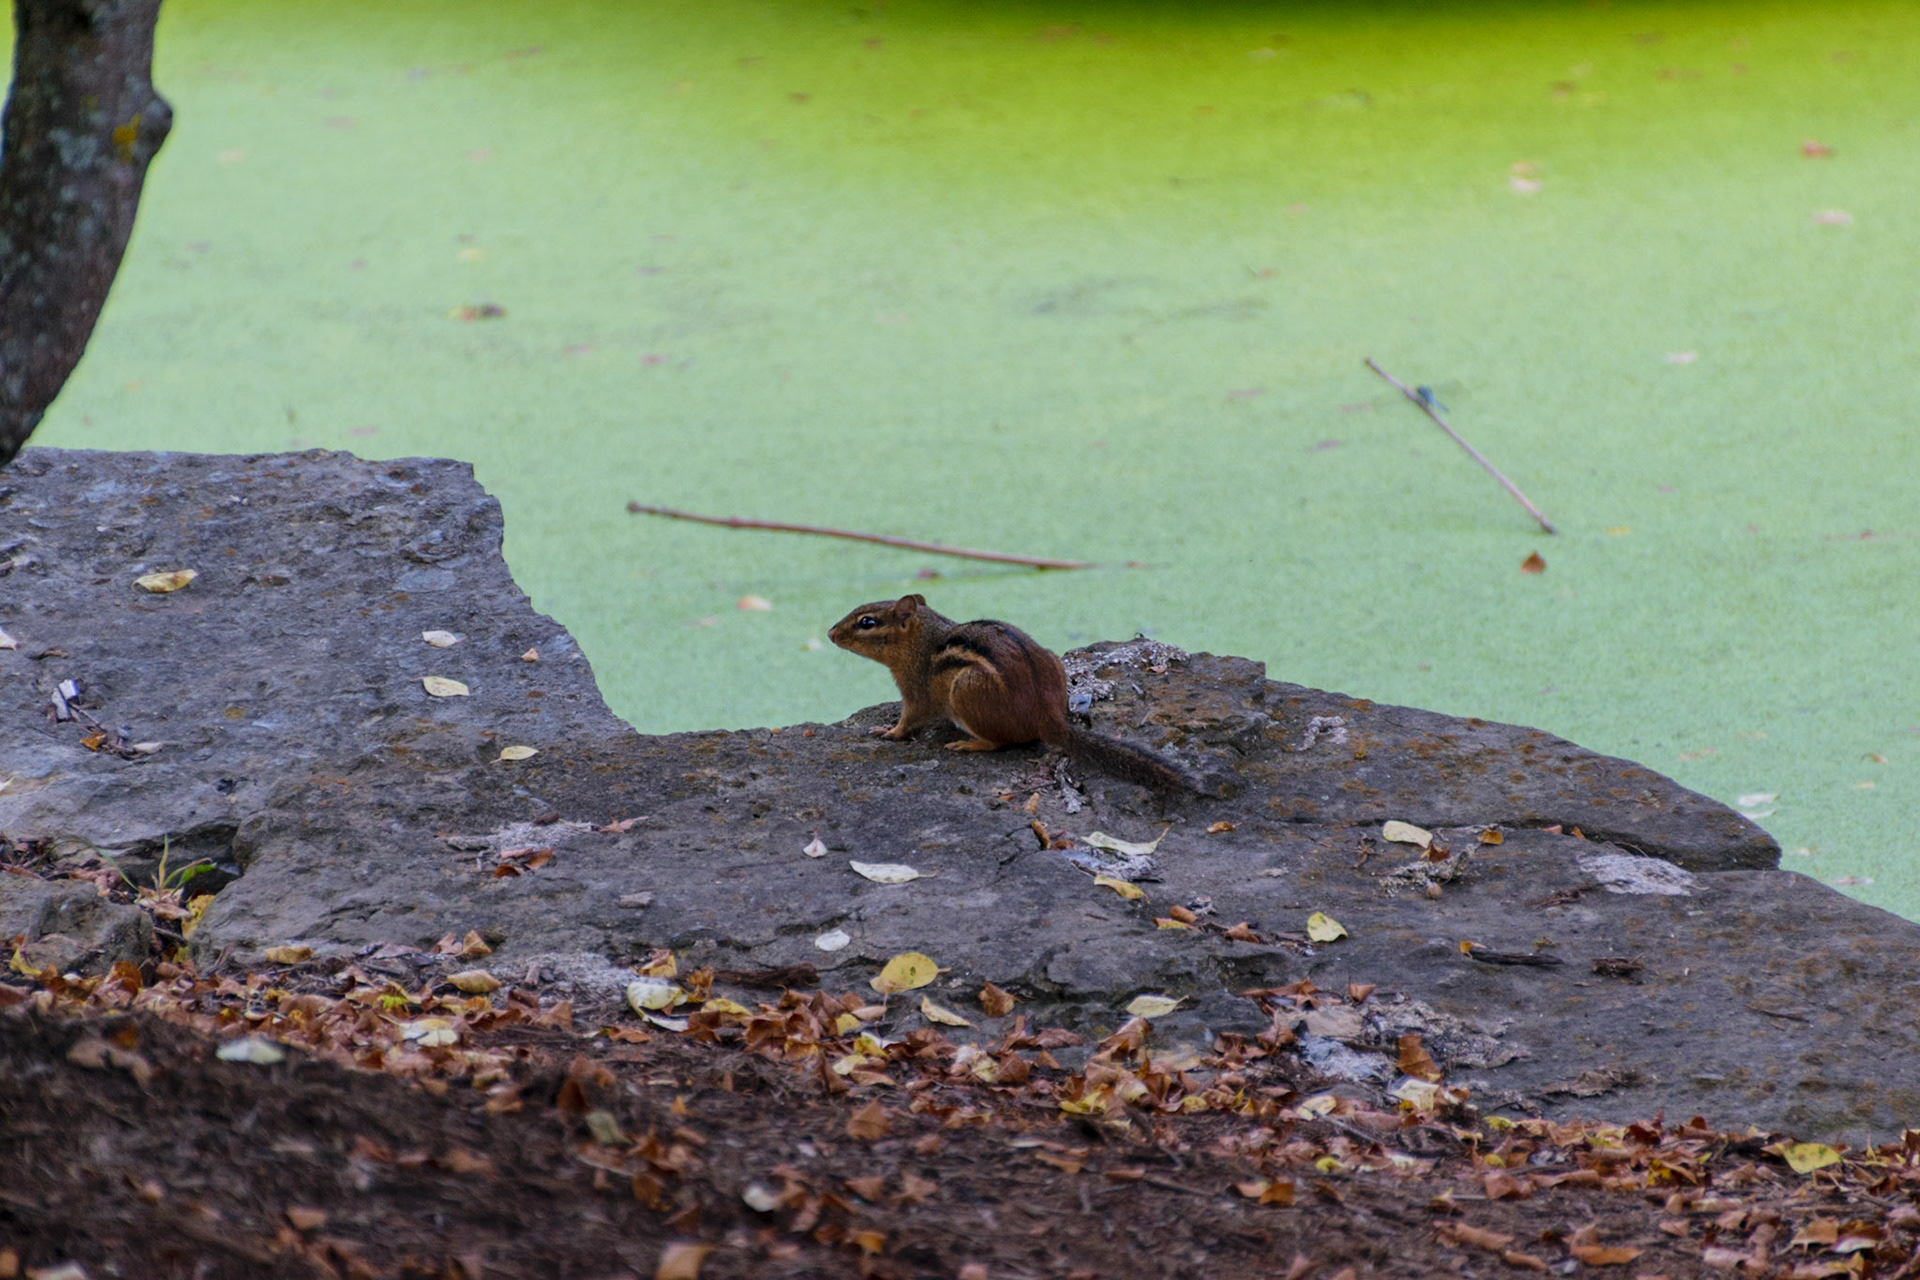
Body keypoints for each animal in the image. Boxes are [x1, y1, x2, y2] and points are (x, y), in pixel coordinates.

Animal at [828, 594, 1217, 795]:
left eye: (866, 622)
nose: (830, 633)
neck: (925, 641)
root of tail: (1049, 717)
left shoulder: (915, 689)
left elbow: (909, 718)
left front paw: (888, 731)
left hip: (966, 688)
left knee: (1000, 742)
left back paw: (967, 744)